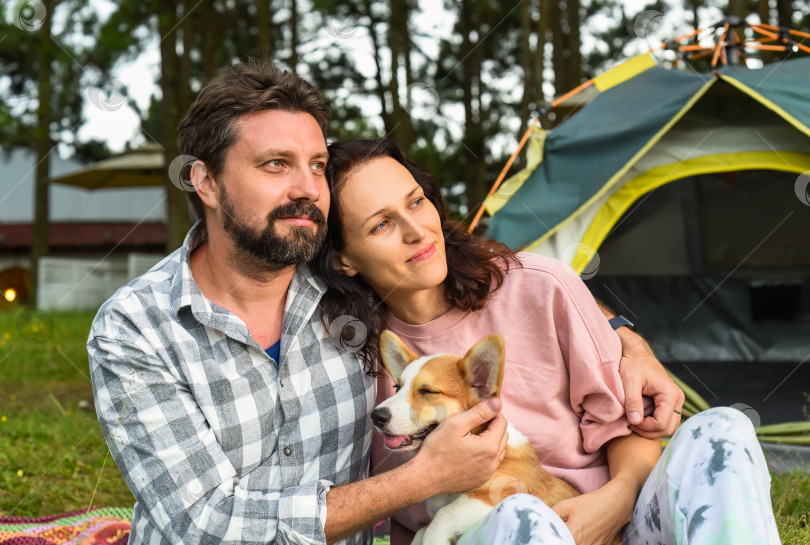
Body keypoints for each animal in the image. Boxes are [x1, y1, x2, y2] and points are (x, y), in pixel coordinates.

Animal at [370, 330, 620, 544]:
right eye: (397, 388)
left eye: (427, 391)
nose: (376, 416)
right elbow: (423, 529)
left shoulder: (501, 494)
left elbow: (441, 518)